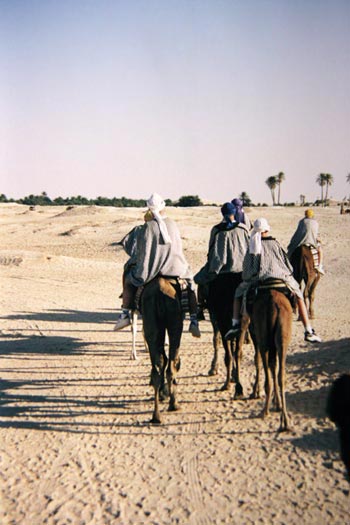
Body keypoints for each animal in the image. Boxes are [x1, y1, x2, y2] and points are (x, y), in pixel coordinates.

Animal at [140, 276, 183, 424]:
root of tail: (160, 290)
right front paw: (166, 394)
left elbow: (162, 359)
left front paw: (163, 393)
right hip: (174, 322)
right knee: (171, 364)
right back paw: (173, 405)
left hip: (151, 321)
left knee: (158, 367)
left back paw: (156, 416)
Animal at [249, 282, 292, 430]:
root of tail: (274, 304)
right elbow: (273, 366)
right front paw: (277, 403)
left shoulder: (256, 335)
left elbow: (260, 362)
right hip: (283, 335)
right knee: (281, 375)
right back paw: (285, 421)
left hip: (263, 337)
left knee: (267, 373)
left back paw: (264, 411)